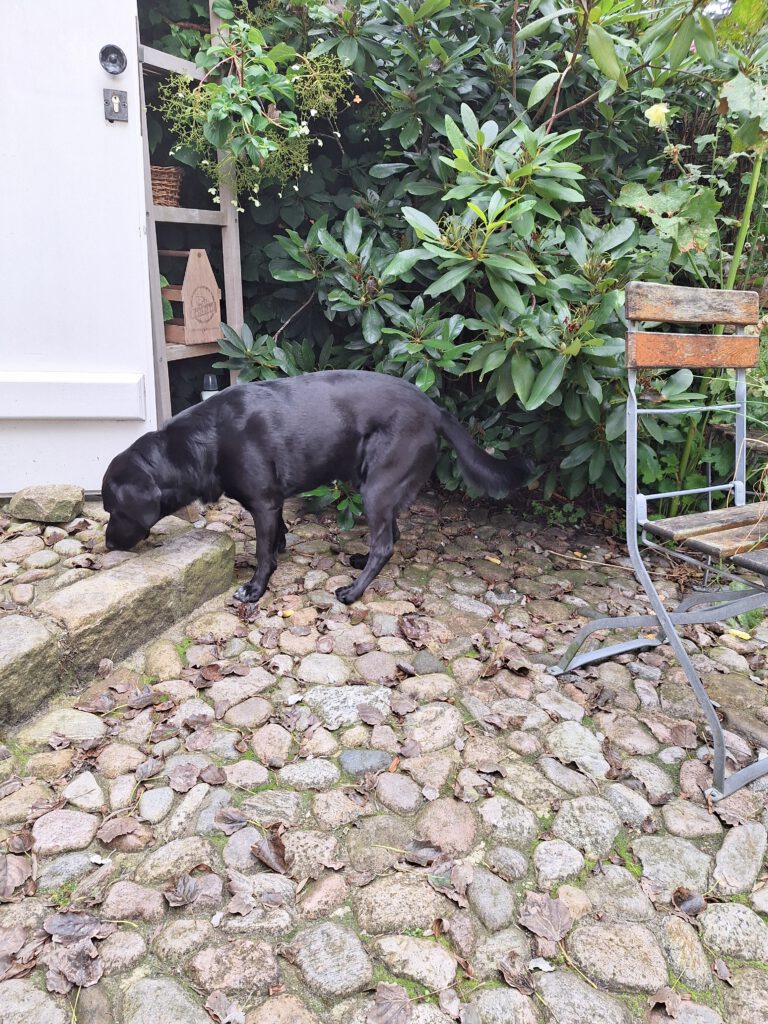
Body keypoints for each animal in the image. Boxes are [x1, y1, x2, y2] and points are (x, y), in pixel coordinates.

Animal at [102, 372, 532, 602]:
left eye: (113, 509)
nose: (106, 545)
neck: (206, 440)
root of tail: (434, 409)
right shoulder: (273, 504)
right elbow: (276, 538)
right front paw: (279, 555)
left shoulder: (263, 503)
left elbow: (262, 552)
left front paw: (255, 588)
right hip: (378, 486)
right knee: (390, 535)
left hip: (376, 487)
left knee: (385, 543)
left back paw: (353, 593)